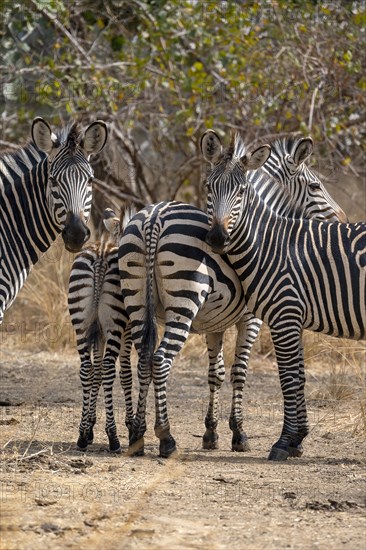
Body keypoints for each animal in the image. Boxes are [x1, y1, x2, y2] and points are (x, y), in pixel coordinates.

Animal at [68, 206, 135, 452]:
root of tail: (100, 256)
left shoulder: (98, 334)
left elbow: (94, 373)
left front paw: (89, 427)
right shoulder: (127, 332)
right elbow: (125, 374)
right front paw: (131, 425)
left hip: (81, 322)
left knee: (86, 368)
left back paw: (81, 436)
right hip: (115, 325)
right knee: (107, 368)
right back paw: (114, 438)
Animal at [118, 136, 348, 460]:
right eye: (315, 186)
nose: (343, 218)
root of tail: (154, 218)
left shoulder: (214, 323)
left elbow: (215, 373)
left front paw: (211, 433)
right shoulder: (251, 319)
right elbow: (241, 372)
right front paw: (241, 433)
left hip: (136, 300)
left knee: (144, 359)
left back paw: (137, 434)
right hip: (184, 302)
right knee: (161, 359)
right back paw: (166, 438)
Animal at [202, 129, 364, 462]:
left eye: (242, 192)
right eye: (209, 187)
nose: (217, 238)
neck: (272, 242)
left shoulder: (277, 316)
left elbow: (282, 376)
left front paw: (283, 441)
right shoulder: (282, 318)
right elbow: (292, 377)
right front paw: (293, 440)